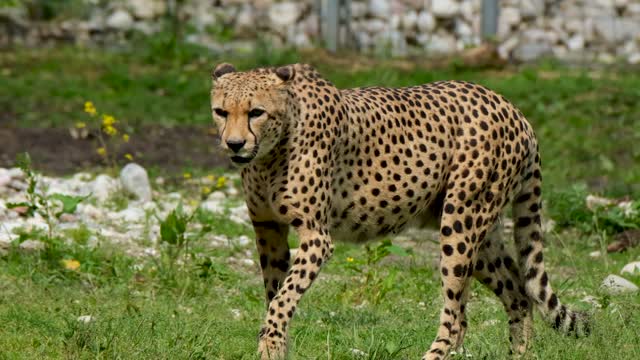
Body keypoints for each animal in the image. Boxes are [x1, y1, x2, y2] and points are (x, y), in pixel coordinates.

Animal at [211, 63, 592, 358]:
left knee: (457, 316)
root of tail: (510, 106)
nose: (234, 144)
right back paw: (518, 353)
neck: (271, 152)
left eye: (256, 112)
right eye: (221, 112)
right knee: (518, 294)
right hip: (479, 234)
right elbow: (274, 294)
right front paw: (273, 344)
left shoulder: (317, 236)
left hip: (460, 223)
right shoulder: (268, 229)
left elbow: (282, 299)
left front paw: (270, 342)